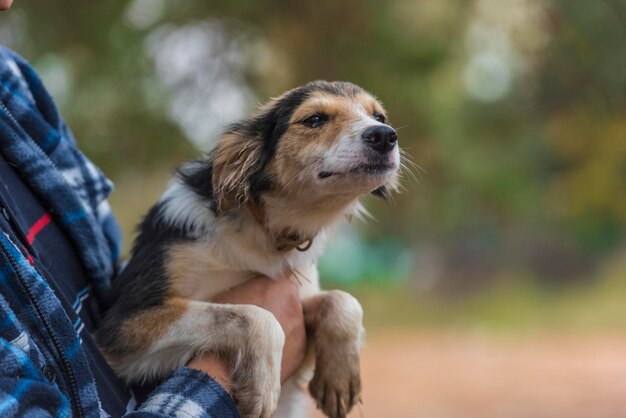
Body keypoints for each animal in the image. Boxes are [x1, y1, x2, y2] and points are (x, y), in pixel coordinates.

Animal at [97, 80, 400, 416]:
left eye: (379, 116)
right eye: (314, 120)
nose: (385, 136)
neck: (265, 232)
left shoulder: (302, 296)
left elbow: (344, 300)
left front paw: (339, 377)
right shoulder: (123, 324)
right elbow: (255, 315)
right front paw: (262, 388)